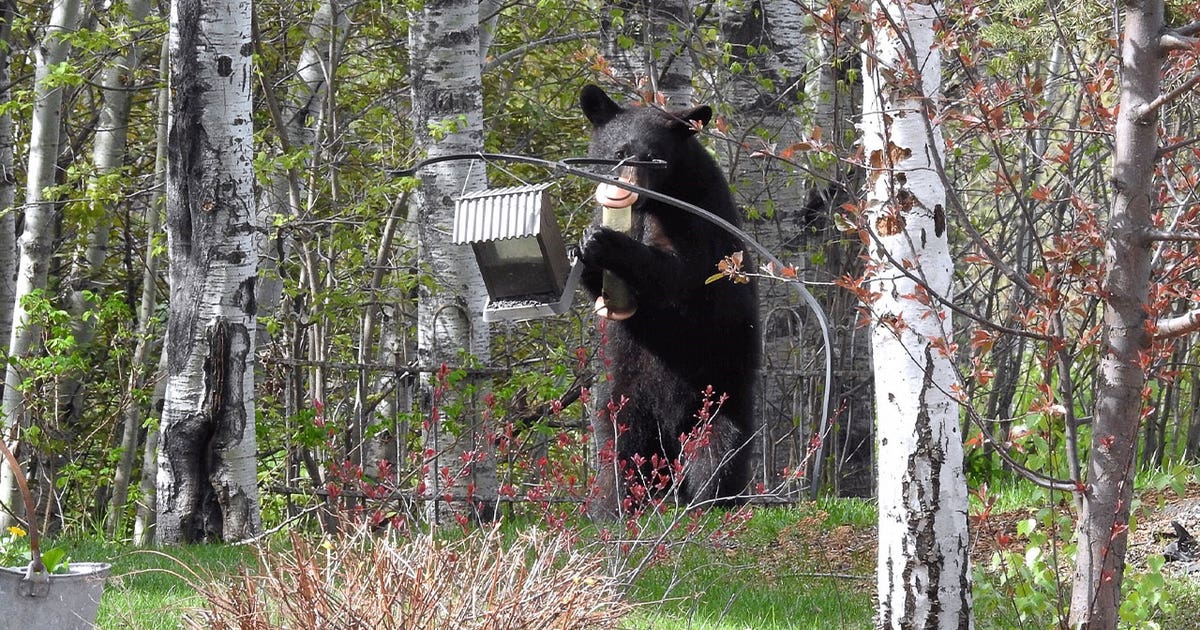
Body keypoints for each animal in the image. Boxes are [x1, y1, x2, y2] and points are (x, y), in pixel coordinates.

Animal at [577, 84, 760, 520]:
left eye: (653, 156)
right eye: (618, 151)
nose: (630, 188)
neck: (651, 206)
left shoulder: (698, 216)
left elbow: (680, 273)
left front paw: (610, 243)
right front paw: (587, 244)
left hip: (719, 393)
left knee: (718, 449)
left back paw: (709, 502)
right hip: (624, 395)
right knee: (619, 448)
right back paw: (615, 507)